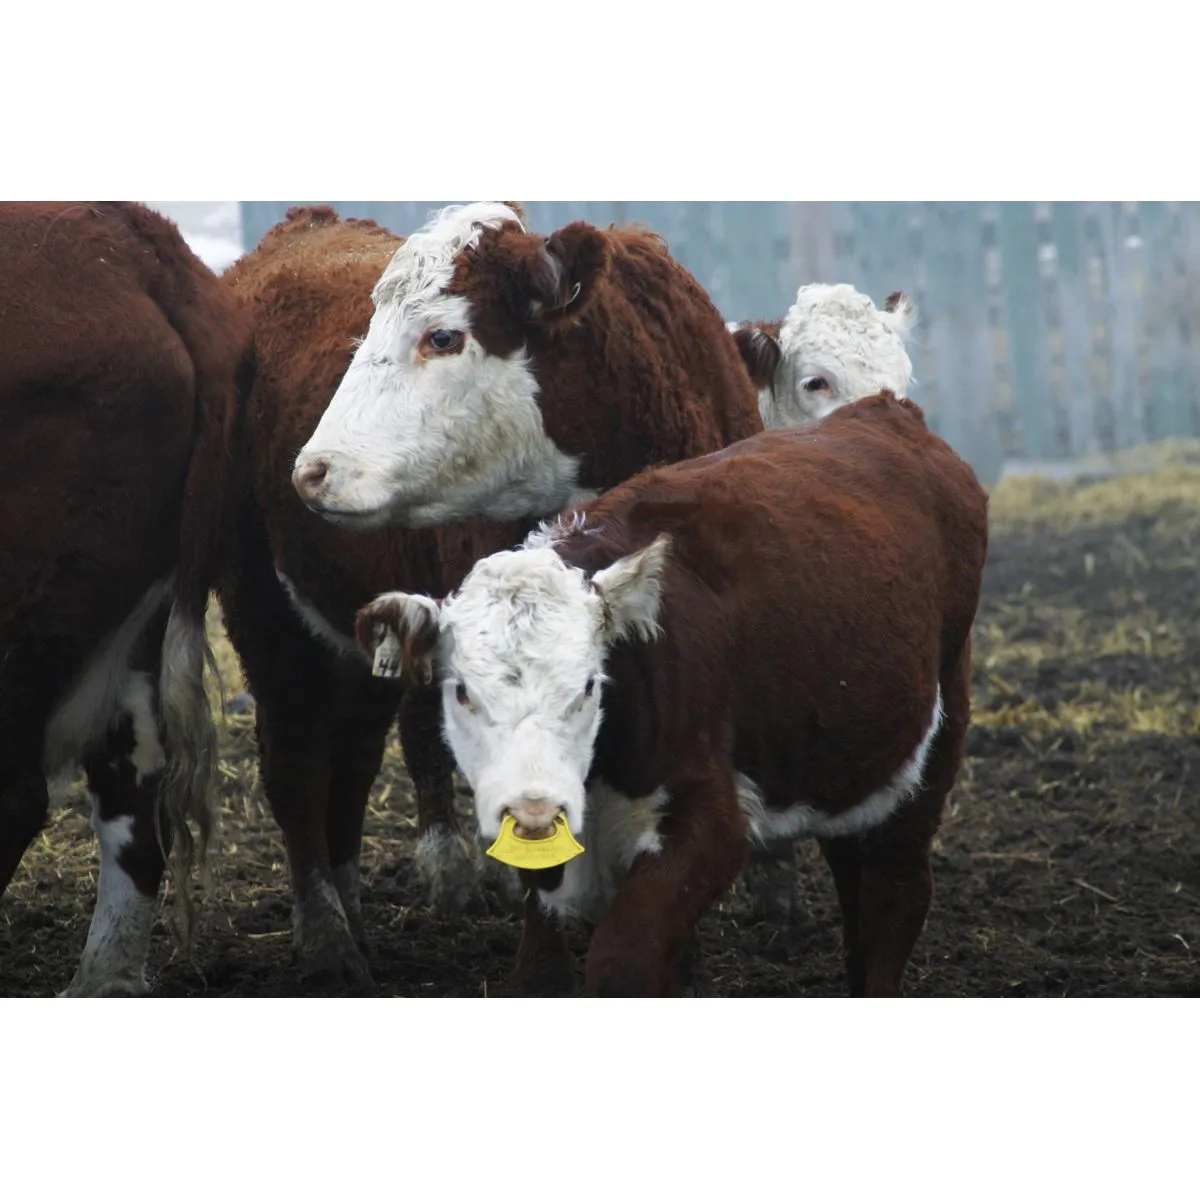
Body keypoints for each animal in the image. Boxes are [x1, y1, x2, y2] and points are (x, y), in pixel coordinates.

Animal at [218, 202, 763, 984]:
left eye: (443, 335)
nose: (314, 471)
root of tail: (303, 224)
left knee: (352, 759)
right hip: (263, 609)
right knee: (294, 762)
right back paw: (327, 940)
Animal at [356, 393, 989, 997]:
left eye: (588, 686)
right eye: (462, 691)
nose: (534, 810)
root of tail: (883, 408)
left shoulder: (708, 822)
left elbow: (623, 960)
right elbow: (543, 969)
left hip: (934, 741)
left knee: (894, 893)